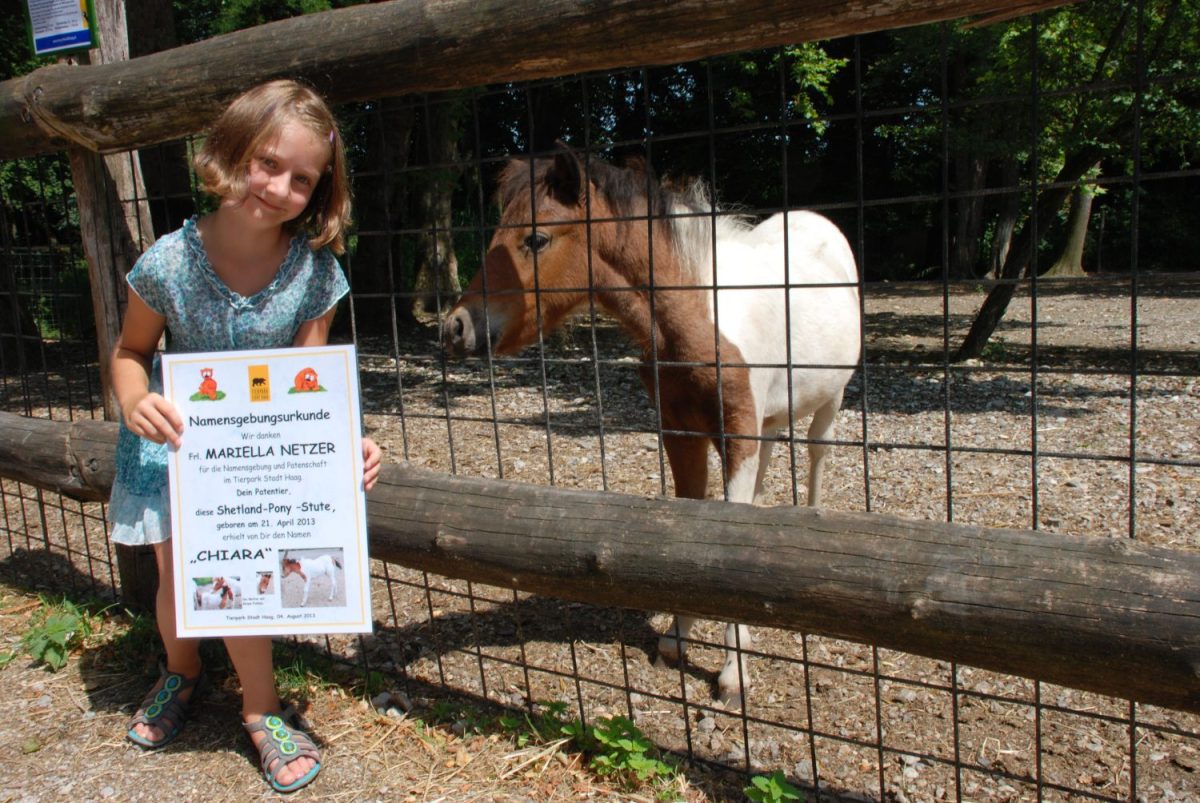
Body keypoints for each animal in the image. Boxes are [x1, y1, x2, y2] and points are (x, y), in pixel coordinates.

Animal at [441, 147, 864, 705]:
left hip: (830, 398)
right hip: (769, 421)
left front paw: (733, 673)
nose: (455, 327)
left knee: (817, 452)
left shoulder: (737, 433)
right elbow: (695, 524)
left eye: (536, 238)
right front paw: (677, 639)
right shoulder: (682, 434)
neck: (694, 315)